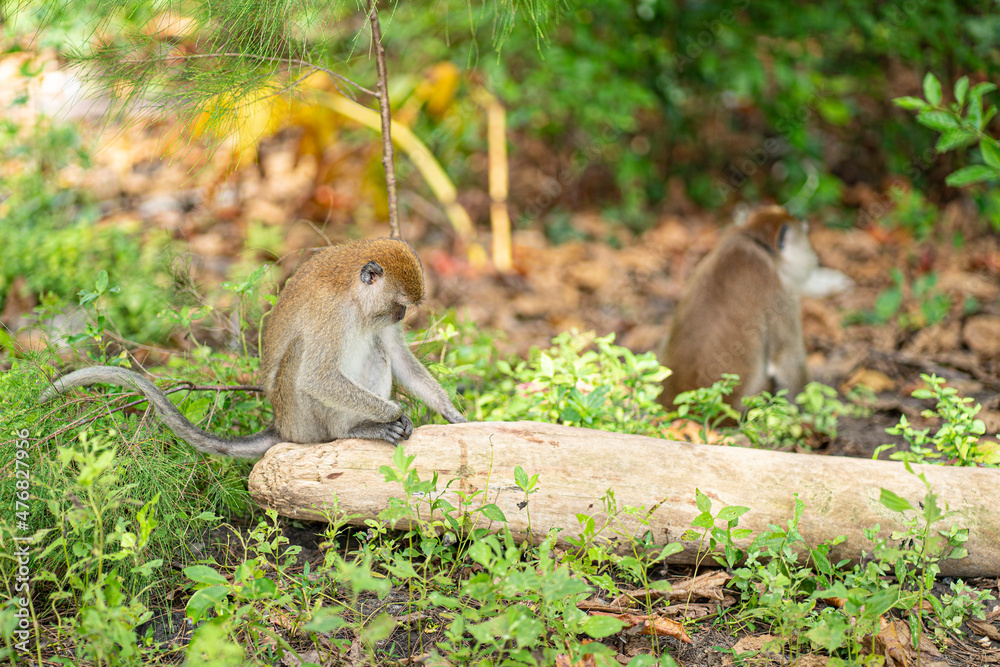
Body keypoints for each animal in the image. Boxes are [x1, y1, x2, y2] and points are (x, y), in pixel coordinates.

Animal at [40, 238, 468, 458]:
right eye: (399, 305)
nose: (401, 316)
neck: (353, 295)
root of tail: (281, 425)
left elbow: (397, 356)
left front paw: (452, 413)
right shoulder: (332, 312)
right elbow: (317, 377)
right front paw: (393, 412)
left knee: (378, 350)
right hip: (302, 420)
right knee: (303, 362)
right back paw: (358, 430)